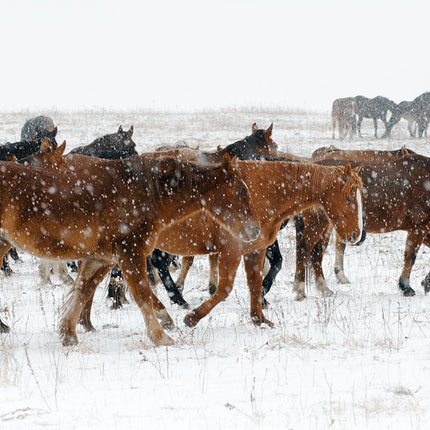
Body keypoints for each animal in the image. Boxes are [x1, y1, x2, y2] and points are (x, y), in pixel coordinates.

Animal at [0, 153, 260, 344]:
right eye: (239, 190)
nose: (254, 231)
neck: (146, 194)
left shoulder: (101, 259)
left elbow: (83, 291)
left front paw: (68, 334)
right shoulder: (130, 254)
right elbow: (143, 294)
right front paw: (161, 337)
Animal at [296, 154, 430, 298]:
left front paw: (426, 282)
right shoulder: (418, 228)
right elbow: (410, 257)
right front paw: (405, 287)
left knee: (317, 251)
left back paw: (323, 288)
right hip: (318, 223)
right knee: (306, 248)